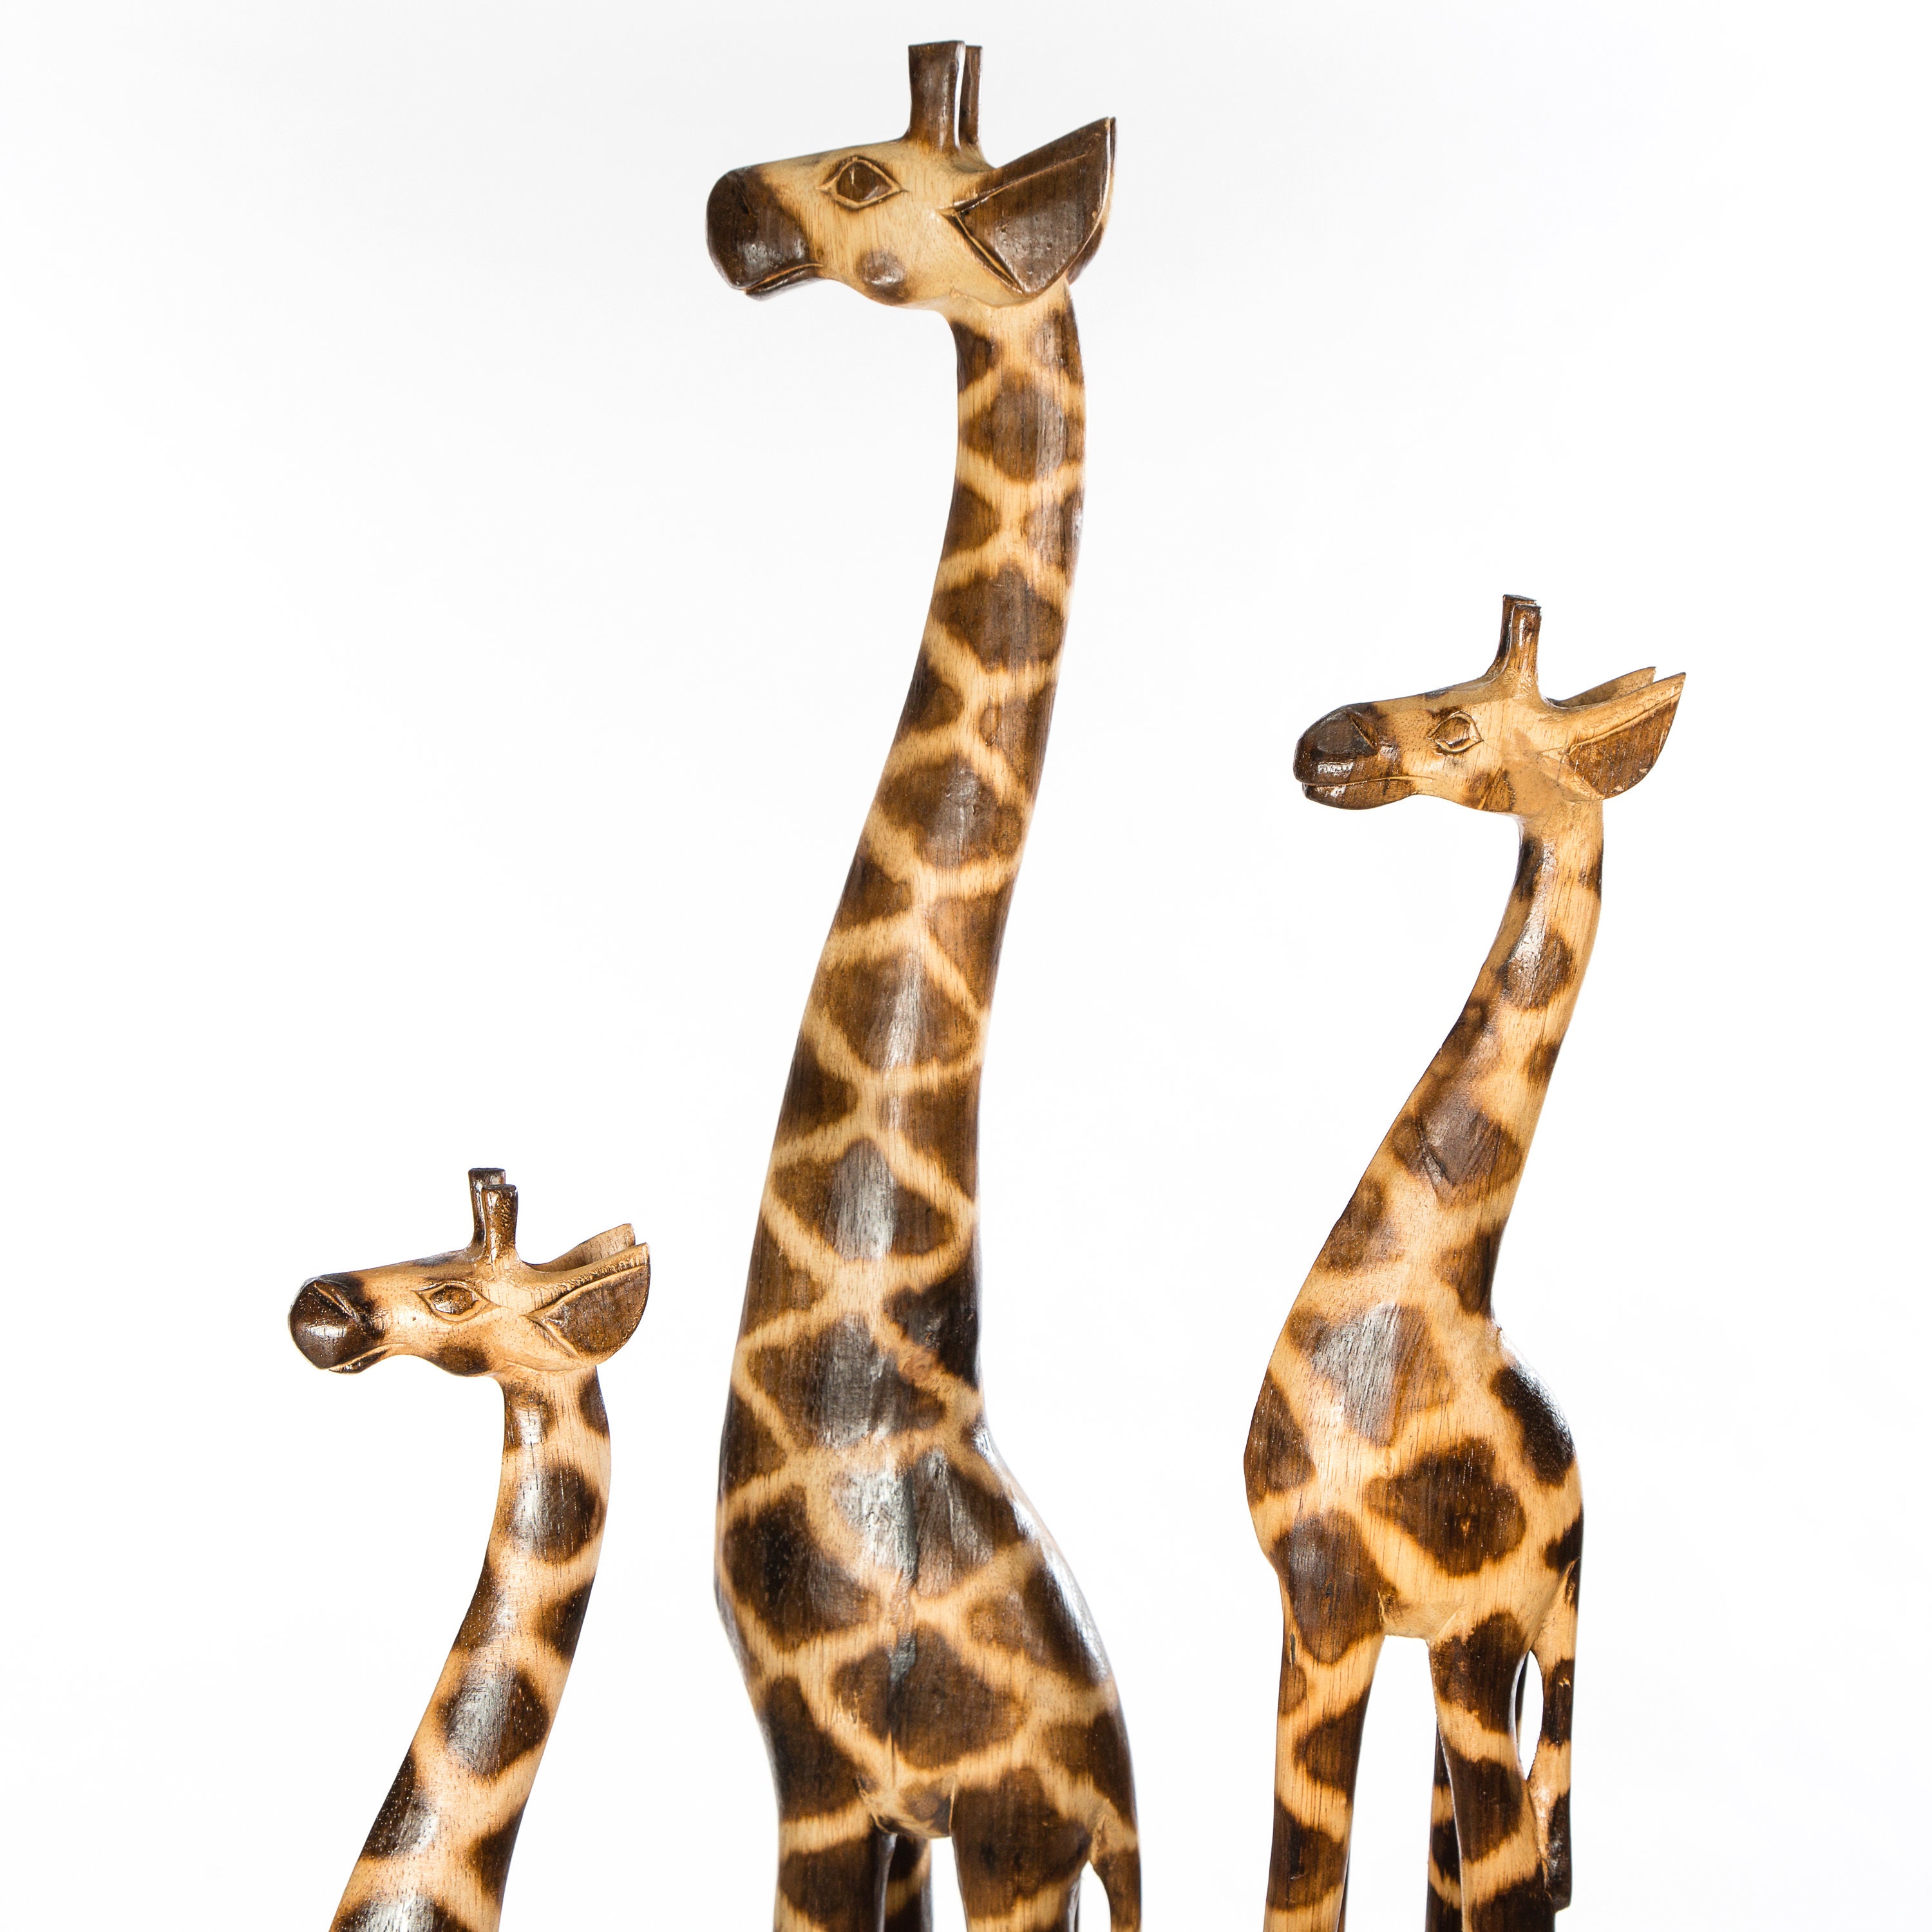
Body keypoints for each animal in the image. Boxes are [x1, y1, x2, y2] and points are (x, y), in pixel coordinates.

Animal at [1244, 597, 1684, 1932]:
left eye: (1457, 727)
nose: (1326, 745)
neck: (1425, 1296)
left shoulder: (1399, 1617)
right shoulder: (1310, 1608)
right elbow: (1305, 1885)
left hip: (1506, 1649)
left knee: (1514, 1870)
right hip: (1512, 1658)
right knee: (1494, 1860)